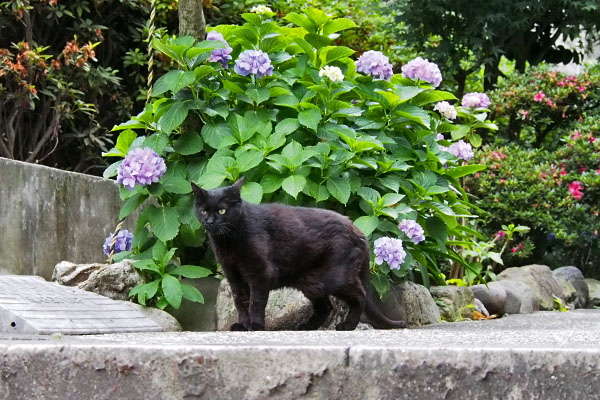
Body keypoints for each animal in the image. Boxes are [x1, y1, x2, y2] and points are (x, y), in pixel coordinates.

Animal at [192, 178, 408, 332]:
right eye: (203, 211)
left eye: (222, 211)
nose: (210, 222)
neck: (229, 241)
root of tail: (358, 230)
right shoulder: (234, 276)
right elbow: (240, 302)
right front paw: (242, 326)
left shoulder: (260, 273)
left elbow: (256, 302)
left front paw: (255, 326)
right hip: (311, 282)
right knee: (326, 307)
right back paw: (307, 327)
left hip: (335, 278)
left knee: (359, 296)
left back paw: (347, 326)